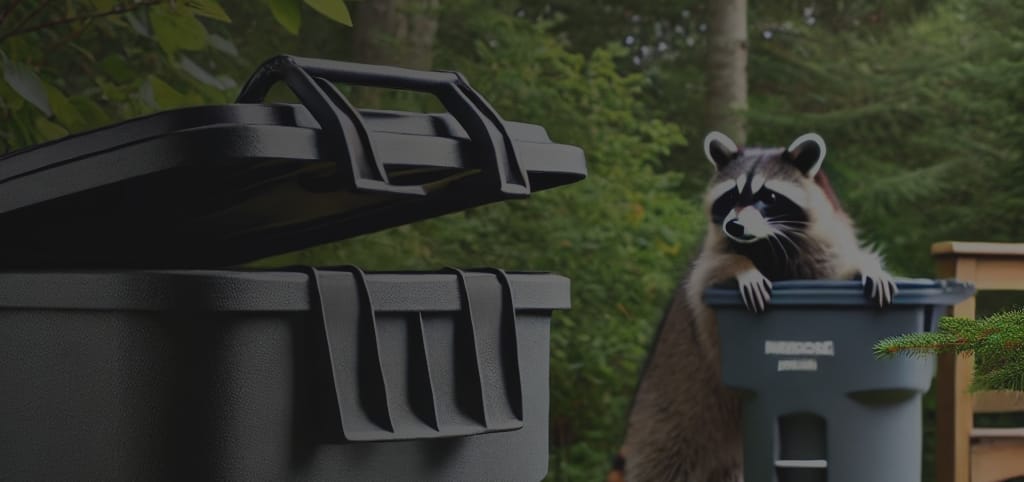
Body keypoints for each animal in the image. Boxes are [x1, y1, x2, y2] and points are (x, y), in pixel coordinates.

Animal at [608, 132, 897, 482]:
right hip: (670, 416)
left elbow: (834, 271)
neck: (766, 242)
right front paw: (741, 267)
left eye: (768, 195)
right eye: (731, 195)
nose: (734, 226)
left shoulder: (821, 243)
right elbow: (706, 279)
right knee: (661, 461)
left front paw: (865, 266)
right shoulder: (708, 268)